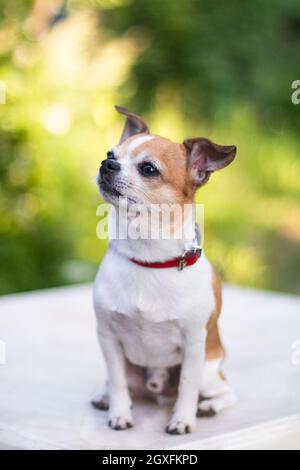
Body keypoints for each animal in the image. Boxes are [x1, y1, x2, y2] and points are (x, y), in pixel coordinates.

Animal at [92, 105, 238, 434]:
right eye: (110, 153)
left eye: (148, 169)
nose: (107, 163)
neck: (148, 258)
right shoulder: (108, 337)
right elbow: (117, 382)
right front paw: (119, 414)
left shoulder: (193, 344)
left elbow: (187, 385)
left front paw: (182, 420)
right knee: (118, 382)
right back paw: (105, 398)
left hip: (209, 372)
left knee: (226, 391)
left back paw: (208, 407)